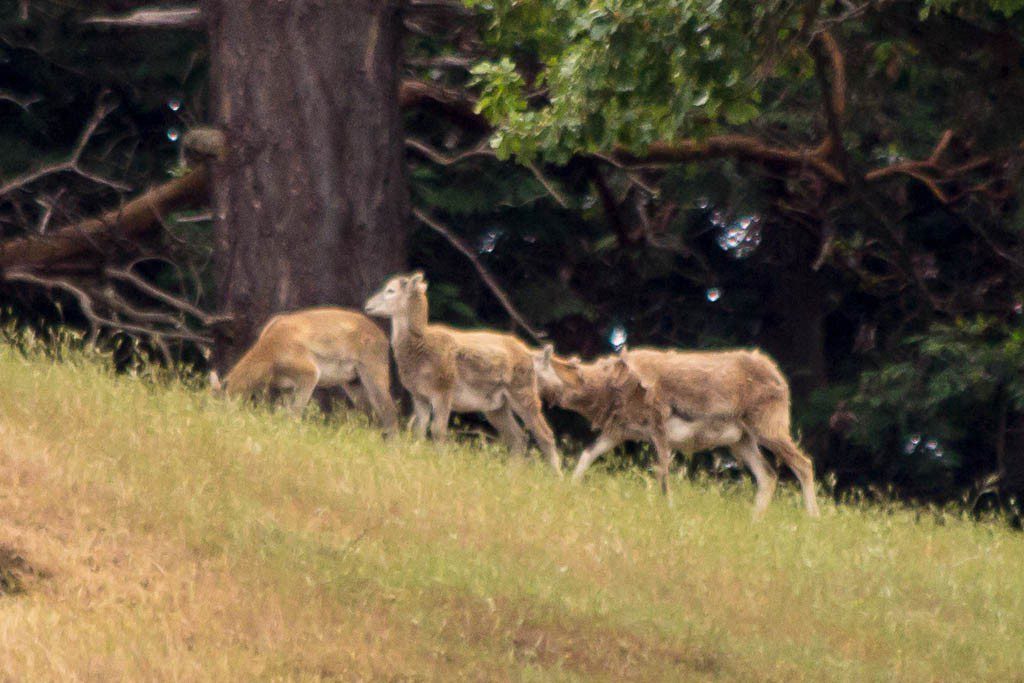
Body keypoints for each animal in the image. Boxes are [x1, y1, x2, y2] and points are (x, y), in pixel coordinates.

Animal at [209, 309, 397, 436]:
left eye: (222, 405)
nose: (217, 425)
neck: (271, 349)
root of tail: (382, 336)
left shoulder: (310, 375)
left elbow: (295, 414)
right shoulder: (286, 388)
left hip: (373, 375)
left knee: (389, 411)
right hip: (353, 383)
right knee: (370, 414)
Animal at [364, 270, 565, 473]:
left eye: (391, 290)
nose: (368, 305)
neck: (421, 351)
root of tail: (528, 355)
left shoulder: (443, 391)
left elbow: (438, 430)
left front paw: (441, 464)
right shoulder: (419, 395)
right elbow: (419, 430)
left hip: (523, 392)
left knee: (545, 434)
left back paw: (556, 476)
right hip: (496, 406)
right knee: (518, 438)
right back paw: (511, 474)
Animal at [532, 348, 819, 518]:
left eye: (533, 367)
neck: (605, 385)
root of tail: (779, 378)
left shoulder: (658, 431)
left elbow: (662, 475)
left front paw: (668, 510)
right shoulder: (618, 432)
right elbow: (587, 455)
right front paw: (567, 487)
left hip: (768, 430)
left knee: (803, 464)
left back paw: (813, 517)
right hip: (741, 441)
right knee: (768, 475)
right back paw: (754, 520)